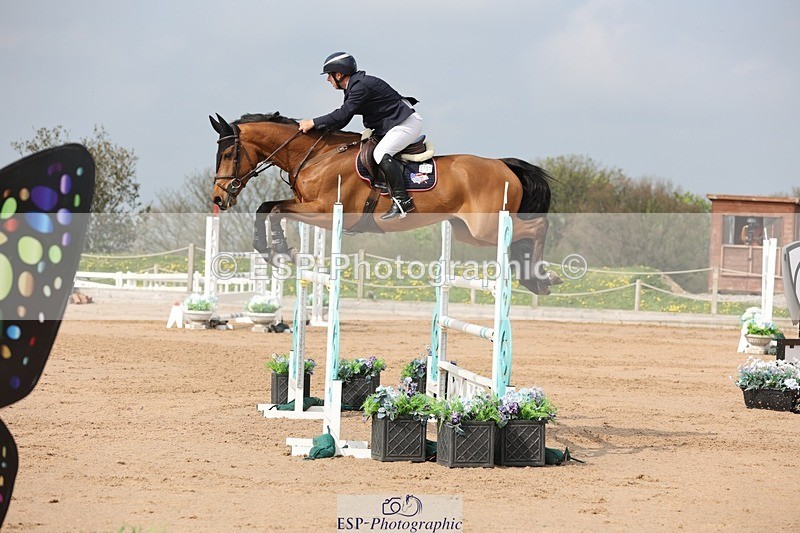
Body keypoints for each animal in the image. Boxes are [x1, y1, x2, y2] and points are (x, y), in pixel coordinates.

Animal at [209, 112, 562, 294]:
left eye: (227, 154)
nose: (218, 198)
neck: (316, 155)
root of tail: (504, 165)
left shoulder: (325, 213)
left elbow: (273, 210)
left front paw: (280, 249)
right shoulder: (306, 206)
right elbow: (267, 208)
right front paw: (270, 249)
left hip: (485, 227)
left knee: (537, 225)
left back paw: (542, 277)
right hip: (467, 231)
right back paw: (533, 278)